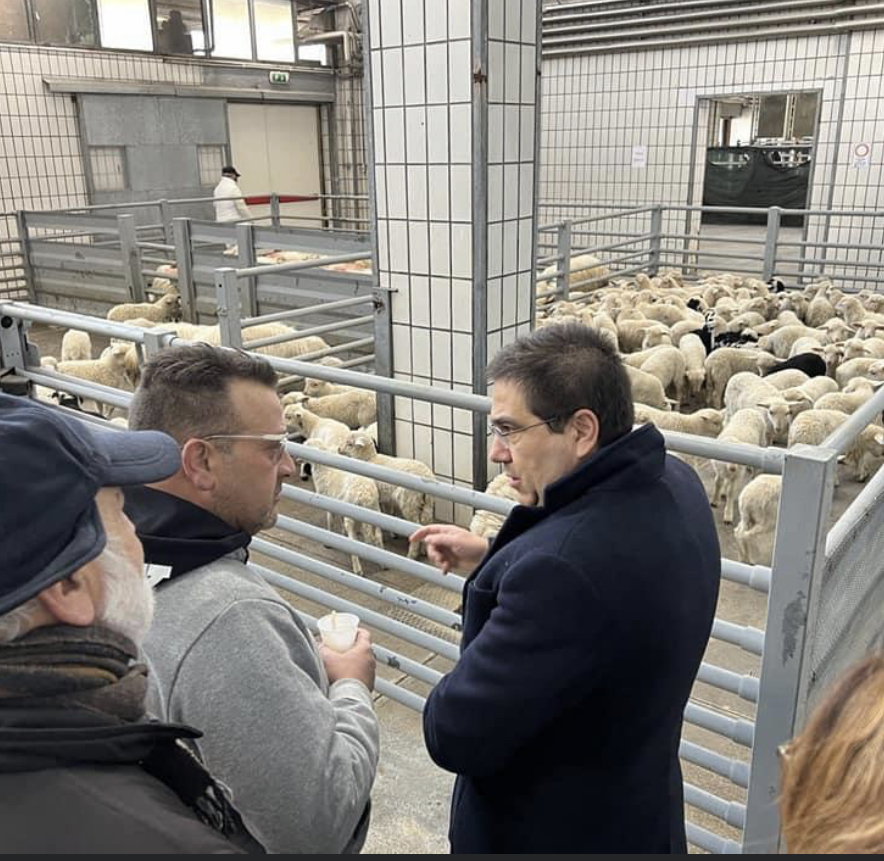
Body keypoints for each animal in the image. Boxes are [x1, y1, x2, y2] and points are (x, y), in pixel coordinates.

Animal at [304, 440, 384, 576]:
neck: (324, 470)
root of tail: (365, 495)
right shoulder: (340, 502)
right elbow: (339, 519)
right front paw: (342, 533)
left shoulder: (328, 501)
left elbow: (330, 520)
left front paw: (328, 542)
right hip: (376, 510)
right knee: (378, 536)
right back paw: (383, 563)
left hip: (353, 515)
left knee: (354, 543)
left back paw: (358, 569)